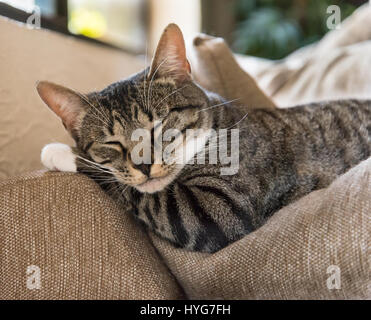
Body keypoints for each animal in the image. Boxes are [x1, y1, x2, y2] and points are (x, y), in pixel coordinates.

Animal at [36, 23, 370, 252]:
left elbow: (138, 192)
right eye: (112, 143)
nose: (143, 165)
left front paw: (62, 153)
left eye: (158, 125)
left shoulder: (216, 208)